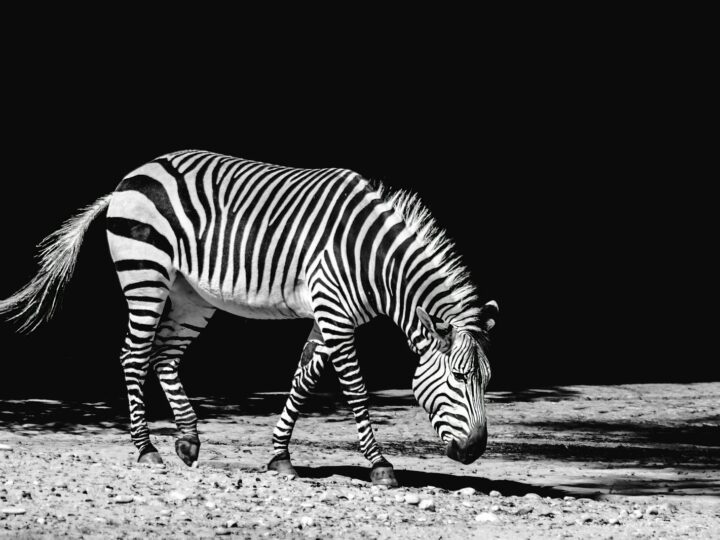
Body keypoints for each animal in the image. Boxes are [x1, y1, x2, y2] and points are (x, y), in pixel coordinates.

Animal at [0, 150, 498, 487]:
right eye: (457, 378)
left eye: (486, 381)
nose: (475, 452)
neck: (372, 259)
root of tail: (136, 173)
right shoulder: (335, 312)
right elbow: (355, 389)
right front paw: (379, 465)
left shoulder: (330, 315)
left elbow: (303, 381)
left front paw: (280, 457)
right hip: (145, 274)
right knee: (133, 356)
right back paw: (146, 449)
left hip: (191, 294)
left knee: (164, 358)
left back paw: (188, 440)